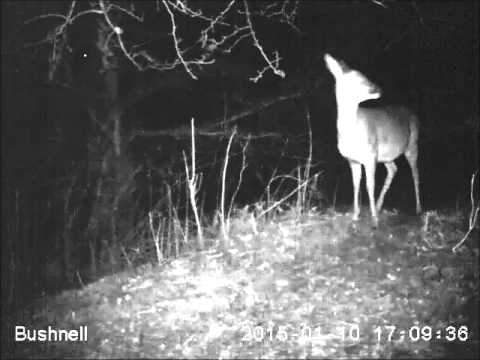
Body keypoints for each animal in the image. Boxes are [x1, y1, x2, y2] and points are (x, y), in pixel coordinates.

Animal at [324, 52, 422, 225]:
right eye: (357, 78)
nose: (379, 89)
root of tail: (413, 113)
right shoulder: (353, 159)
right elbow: (356, 185)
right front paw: (356, 216)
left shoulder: (370, 154)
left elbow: (369, 185)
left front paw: (374, 220)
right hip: (386, 155)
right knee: (393, 169)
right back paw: (378, 205)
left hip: (412, 143)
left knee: (415, 173)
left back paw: (418, 209)